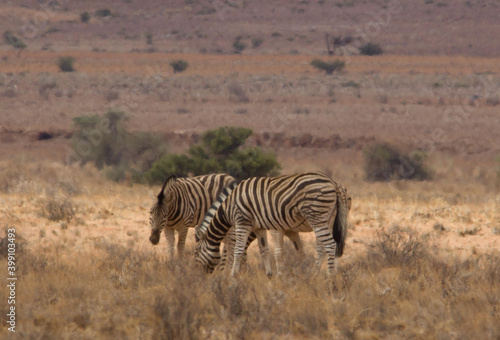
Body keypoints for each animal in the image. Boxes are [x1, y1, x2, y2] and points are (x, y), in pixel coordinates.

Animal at [193, 171, 350, 278]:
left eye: (196, 252)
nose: (197, 277)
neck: (228, 208)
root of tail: (333, 183)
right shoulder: (259, 227)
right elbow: (264, 249)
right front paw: (269, 275)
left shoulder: (242, 221)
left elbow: (238, 249)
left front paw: (233, 275)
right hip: (328, 220)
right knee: (323, 247)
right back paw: (317, 274)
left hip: (316, 217)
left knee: (330, 244)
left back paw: (330, 276)